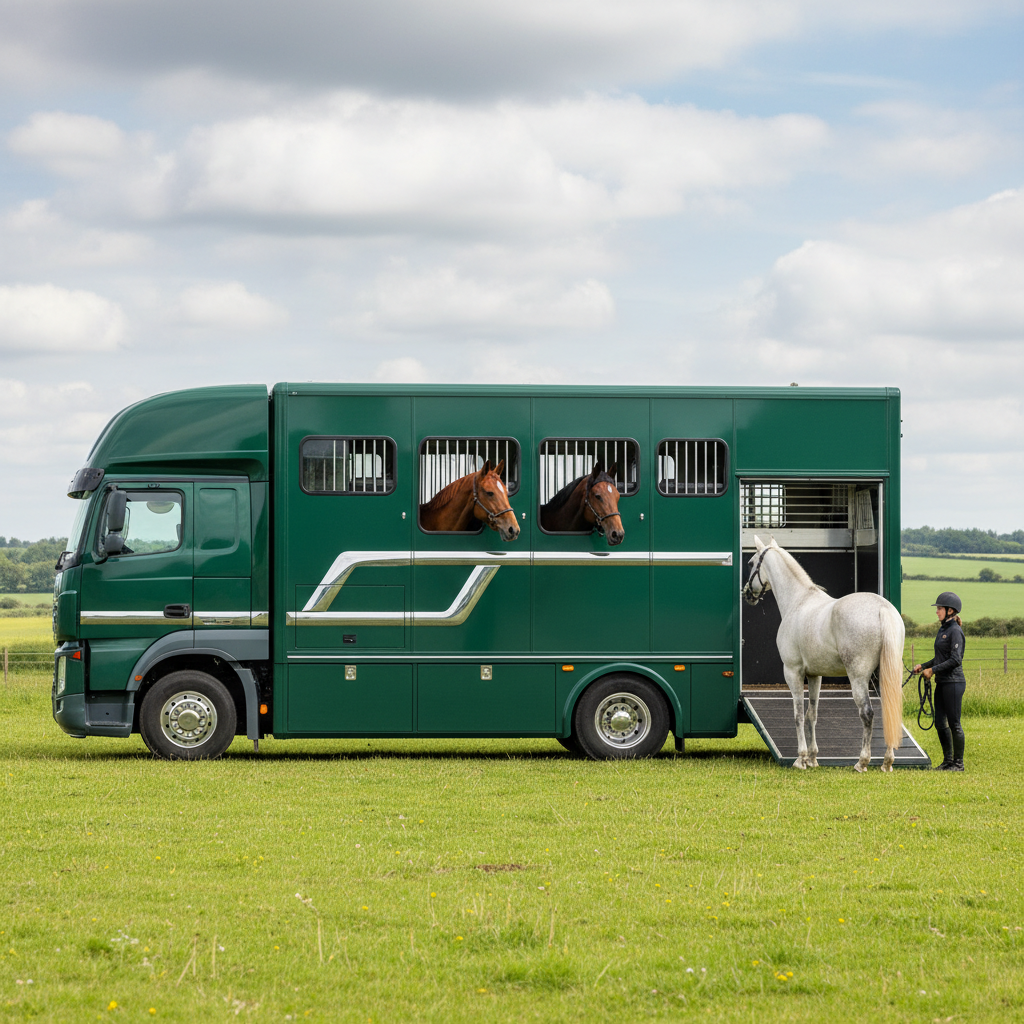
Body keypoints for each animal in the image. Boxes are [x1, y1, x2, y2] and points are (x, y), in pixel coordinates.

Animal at [742, 535, 905, 772]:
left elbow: (798, 715)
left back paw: (862, 762)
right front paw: (812, 758)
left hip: (858, 676)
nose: (747, 593)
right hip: (886, 674)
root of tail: (882, 608)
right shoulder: (814, 675)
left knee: (867, 713)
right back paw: (887, 762)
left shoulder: (793, 672)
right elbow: (812, 715)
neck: (799, 601)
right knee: (890, 709)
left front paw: (800, 759)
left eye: (751, 563)